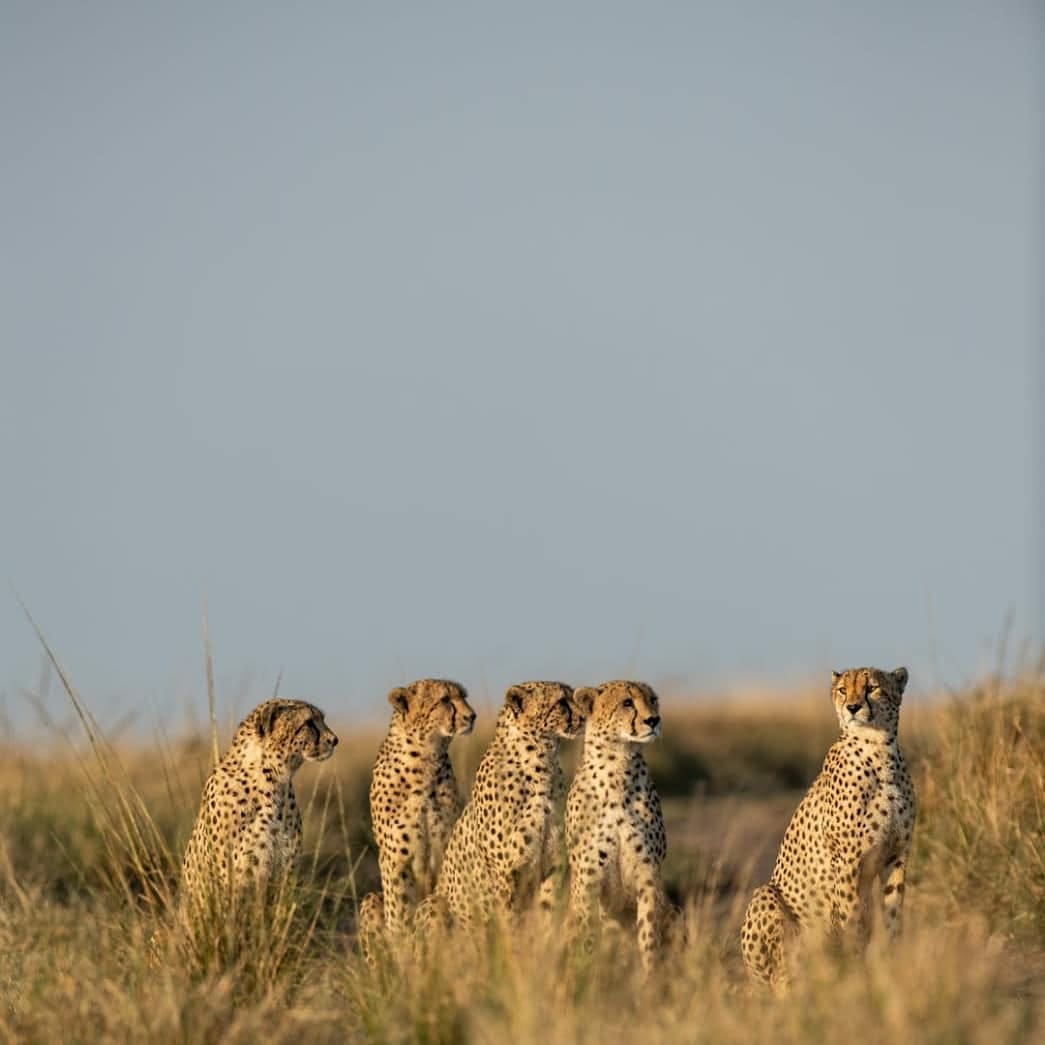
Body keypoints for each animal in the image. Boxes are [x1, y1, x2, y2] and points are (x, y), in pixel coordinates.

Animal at [565, 680, 670, 974]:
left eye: (653, 700)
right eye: (627, 703)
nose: (653, 720)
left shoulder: (648, 874)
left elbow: (648, 932)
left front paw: (650, 977)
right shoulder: (588, 879)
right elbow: (588, 934)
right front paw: (586, 975)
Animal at [740, 666, 916, 990]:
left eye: (872, 688)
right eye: (843, 690)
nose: (853, 708)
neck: (879, 750)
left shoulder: (897, 854)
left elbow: (893, 913)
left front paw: (893, 965)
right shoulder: (847, 860)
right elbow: (851, 920)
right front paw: (857, 975)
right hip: (766, 897)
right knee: (780, 976)